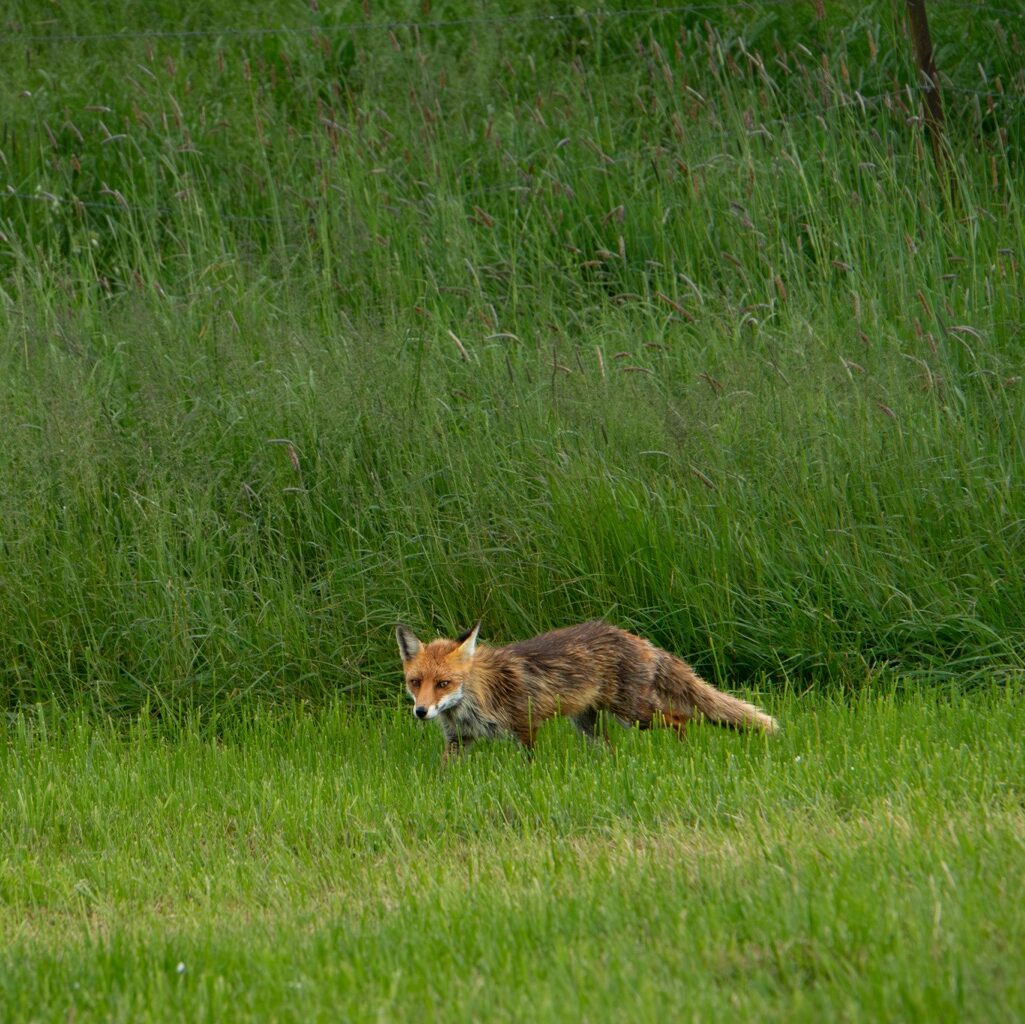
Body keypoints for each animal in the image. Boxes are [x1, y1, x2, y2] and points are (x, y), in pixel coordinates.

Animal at [393, 615, 774, 762]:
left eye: (443, 684)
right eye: (415, 682)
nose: (421, 711)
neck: (472, 700)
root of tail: (637, 639)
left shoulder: (524, 725)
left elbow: (529, 762)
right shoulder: (458, 740)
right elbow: (445, 774)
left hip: (633, 715)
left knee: (682, 717)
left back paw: (682, 750)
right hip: (588, 724)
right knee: (611, 748)